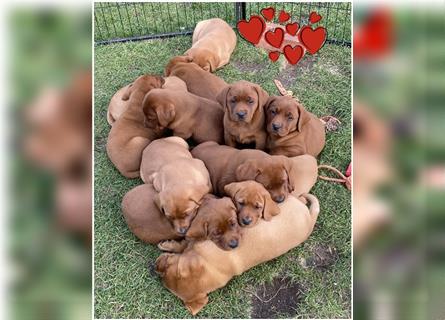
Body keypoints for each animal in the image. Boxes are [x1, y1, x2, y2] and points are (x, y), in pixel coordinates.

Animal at [156, 192, 320, 316]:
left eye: (170, 266)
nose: (155, 266)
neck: (209, 265)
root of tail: (310, 220)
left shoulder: (201, 242)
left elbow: (186, 243)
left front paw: (171, 245)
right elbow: (185, 245)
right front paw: (169, 245)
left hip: (290, 204)